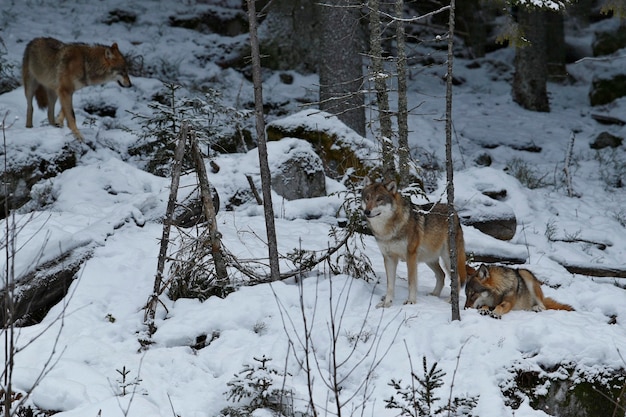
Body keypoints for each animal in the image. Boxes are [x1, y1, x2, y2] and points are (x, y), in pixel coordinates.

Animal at [358, 176, 466, 306]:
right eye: (367, 198)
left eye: (379, 199)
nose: (367, 211)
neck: (388, 230)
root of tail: (454, 213)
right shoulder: (389, 258)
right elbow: (390, 285)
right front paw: (387, 303)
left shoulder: (411, 256)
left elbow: (411, 281)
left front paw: (411, 301)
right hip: (429, 259)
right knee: (441, 275)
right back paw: (434, 295)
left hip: (447, 258)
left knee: (457, 279)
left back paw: (450, 301)